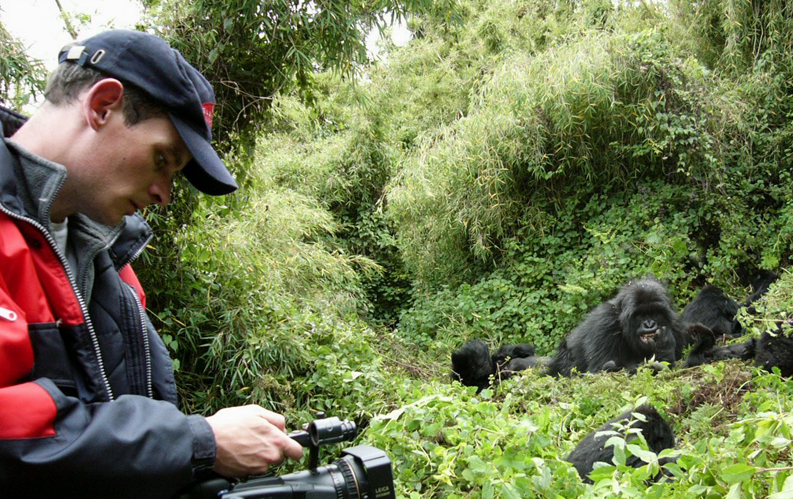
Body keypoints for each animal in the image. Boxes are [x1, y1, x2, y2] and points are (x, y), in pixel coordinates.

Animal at [548, 276, 684, 376]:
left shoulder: (676, 327)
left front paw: (663, 350)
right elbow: (600, 372)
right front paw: (662, 353)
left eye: (656, 313)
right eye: (640, 315)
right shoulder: (604, 324)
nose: (649, 324)